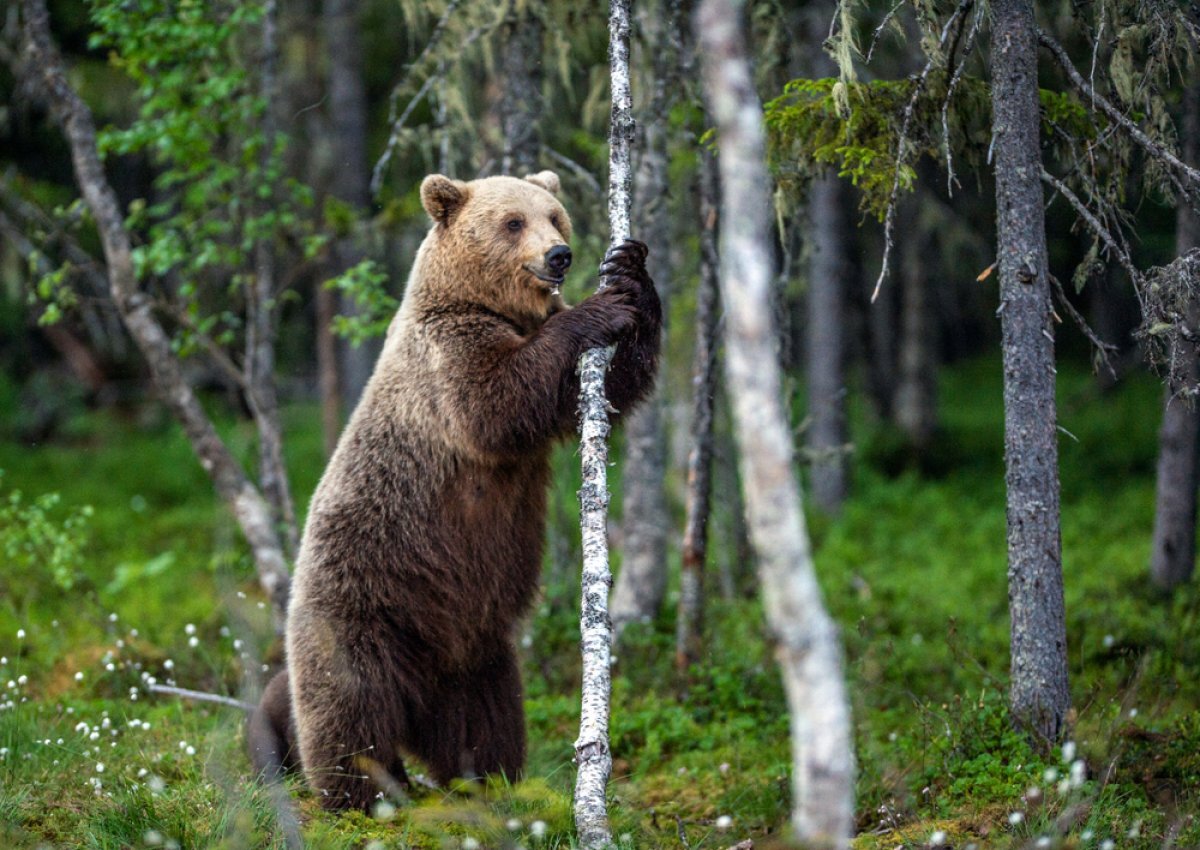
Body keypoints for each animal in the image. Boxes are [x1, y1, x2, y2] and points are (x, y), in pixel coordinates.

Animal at [243, 170, 657, 811]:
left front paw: (630, 273)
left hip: (471, 643)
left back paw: (487, 777)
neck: (488, 304)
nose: (559, 255)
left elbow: (610, 385)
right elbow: (498, 399)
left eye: (554, 215)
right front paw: (598, 309)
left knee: (486, 713)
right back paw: (364, 793)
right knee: (348, 707)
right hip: (363, 604)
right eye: (513, 221)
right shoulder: (448, 358)